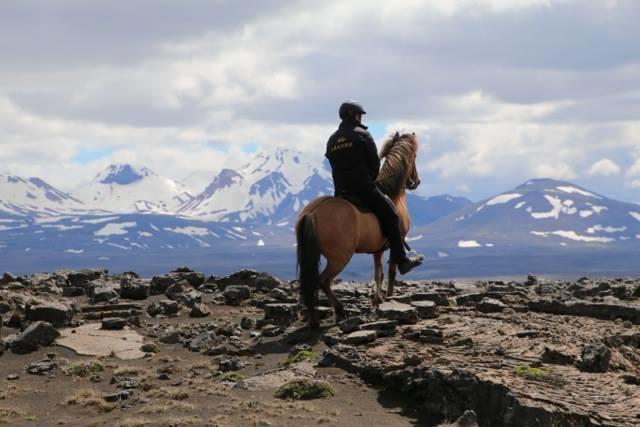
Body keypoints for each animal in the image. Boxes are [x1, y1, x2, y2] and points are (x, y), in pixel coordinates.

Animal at [298, 132, 422, 330]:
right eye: (415, 156)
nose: (416, 181)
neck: (392, 193)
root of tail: (312, 212)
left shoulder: (377, 249)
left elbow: (378, 273)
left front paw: (378, 299)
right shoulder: (396, 239)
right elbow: (392, 270)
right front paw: (389, 295)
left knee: (310, 282)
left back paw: (313, 319)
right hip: (339, 258)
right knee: (323, 280)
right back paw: (339, 310)